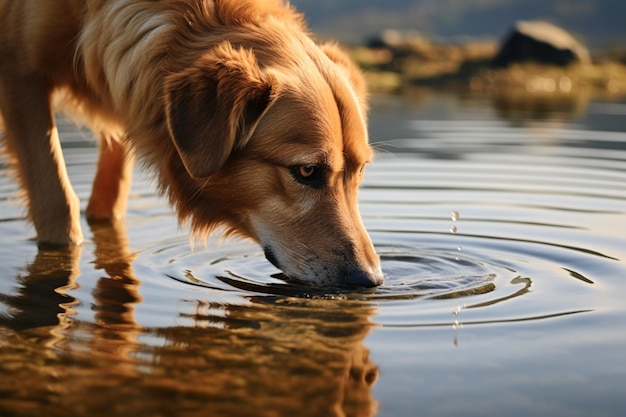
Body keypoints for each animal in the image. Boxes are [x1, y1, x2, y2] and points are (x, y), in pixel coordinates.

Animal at [0, 0, 382, 286]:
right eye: (306, 171)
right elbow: (58, 208)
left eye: (361, 172)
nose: (371, 280)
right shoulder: (19, 74)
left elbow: (111, 199)